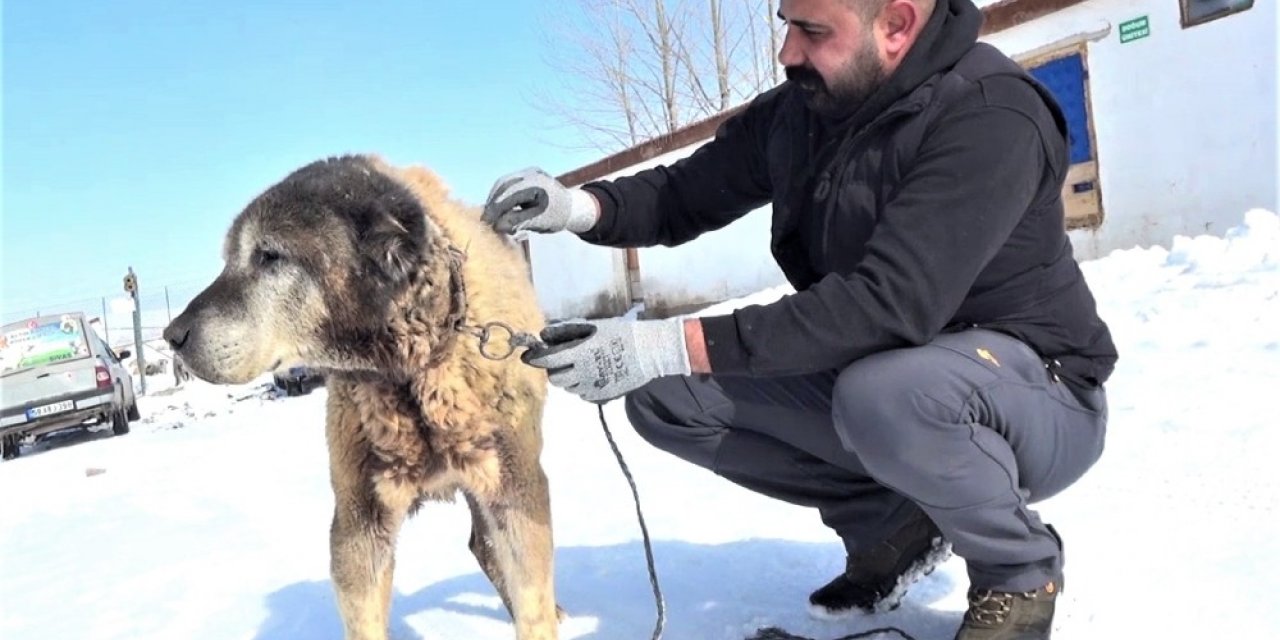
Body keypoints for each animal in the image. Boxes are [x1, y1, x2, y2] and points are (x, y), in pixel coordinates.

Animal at [162, 156, 558, 640]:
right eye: (230, 259)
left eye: (269, 256)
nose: (172, 335)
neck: (410, 374)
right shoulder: (359, 520)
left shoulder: (516, 489)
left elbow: (533, 605)